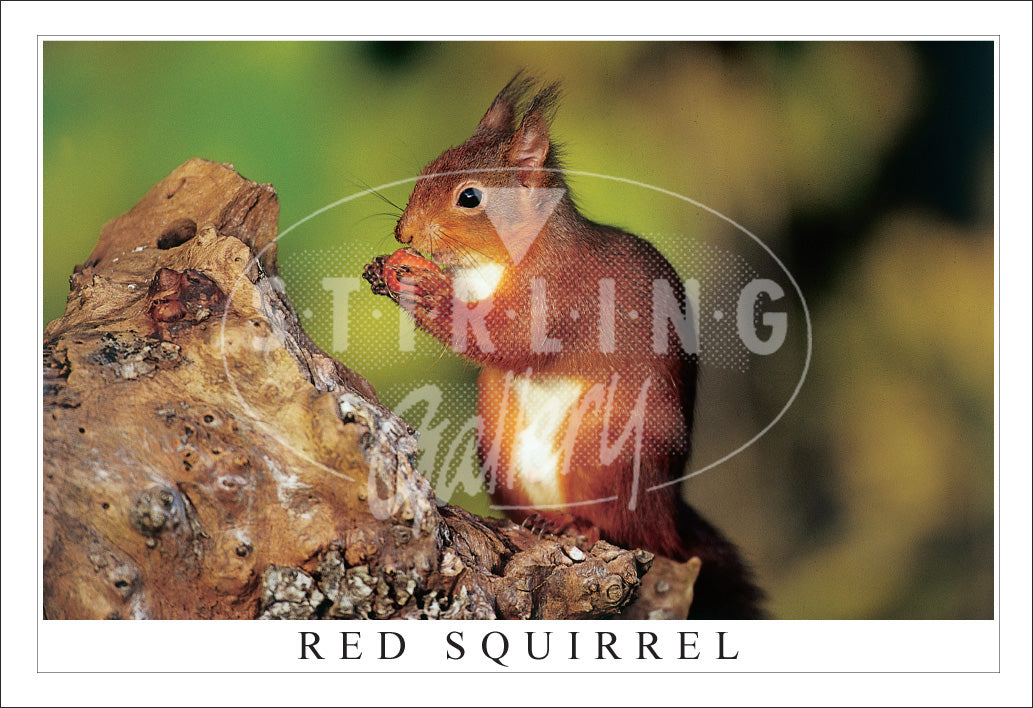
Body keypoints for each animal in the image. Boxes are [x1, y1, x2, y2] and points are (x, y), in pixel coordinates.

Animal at [363, 74, 765, 619]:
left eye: (470, 196)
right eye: (430, 165)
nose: (403, 232)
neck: (489, 265)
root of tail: (667, 514)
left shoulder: (561, 297)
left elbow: (508, 338)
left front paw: (425, 288)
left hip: (606, 445)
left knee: (620, 527)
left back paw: (576, 525)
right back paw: (536, 520)